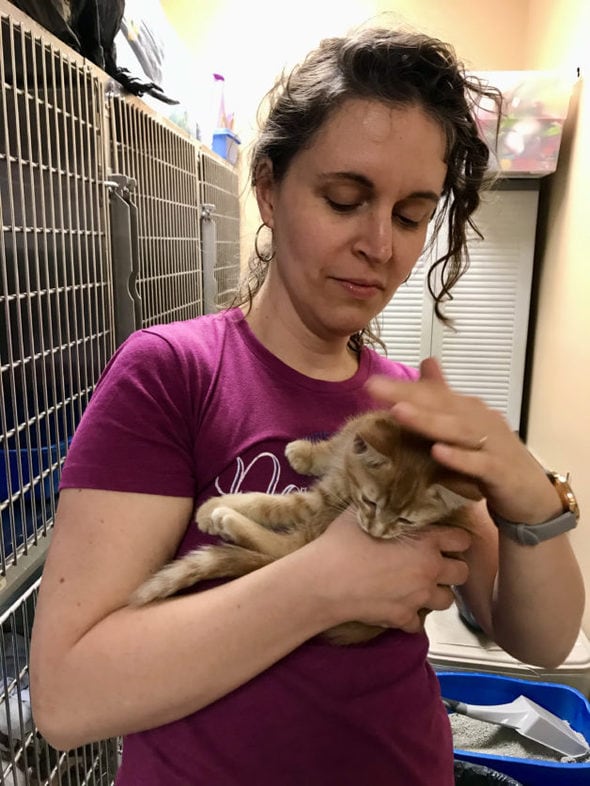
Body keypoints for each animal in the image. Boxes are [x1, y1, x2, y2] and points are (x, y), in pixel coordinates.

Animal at [132, 408, 474, 640]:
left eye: (405, 520)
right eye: (371, 502)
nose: (376, 532)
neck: (347, 472)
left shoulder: (321, 502)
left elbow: (271, 505)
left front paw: (216, 505)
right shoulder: (353, 437)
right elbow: (334, 446)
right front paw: (305, 453)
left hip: (323, 522)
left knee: (287, 548)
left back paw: (225, 518)